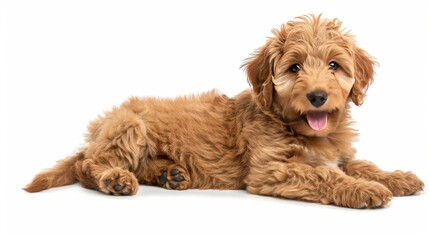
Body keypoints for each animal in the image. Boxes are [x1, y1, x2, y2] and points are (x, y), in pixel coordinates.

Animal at [25, 14, 422, 208]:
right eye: (294, 68)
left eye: (335, 65)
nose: (318, 96)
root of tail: (97, 130)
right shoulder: (270, 169)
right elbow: (325, 175)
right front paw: (365, 190)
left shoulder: (339, 154)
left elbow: (361, 164)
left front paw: (396, 178)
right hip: (128, 126)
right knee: (87, 165)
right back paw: (115, 179)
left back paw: (170, 173)